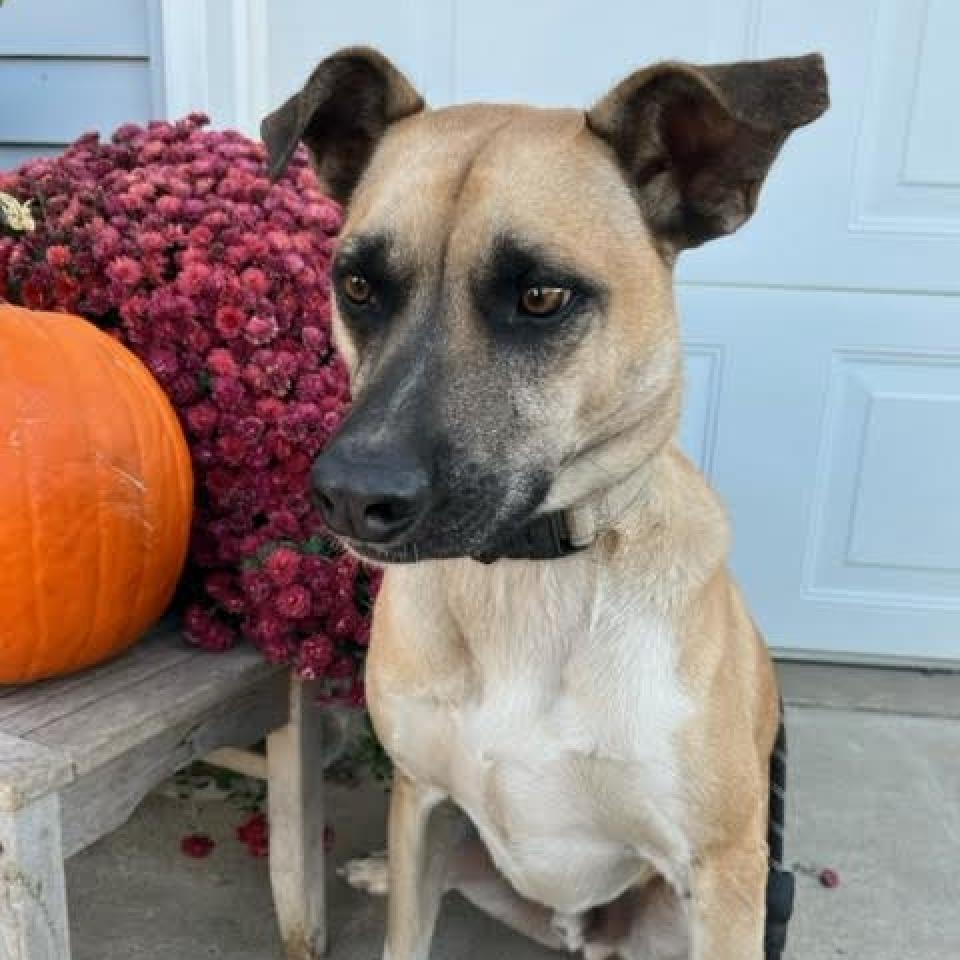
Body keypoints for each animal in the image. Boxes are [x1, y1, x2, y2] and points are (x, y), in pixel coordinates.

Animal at [260, 47, 824, 960]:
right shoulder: (422, 799)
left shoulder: (724, 873)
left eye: (541, 297)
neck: (525, 579)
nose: (349, 497)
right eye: (357, 284)